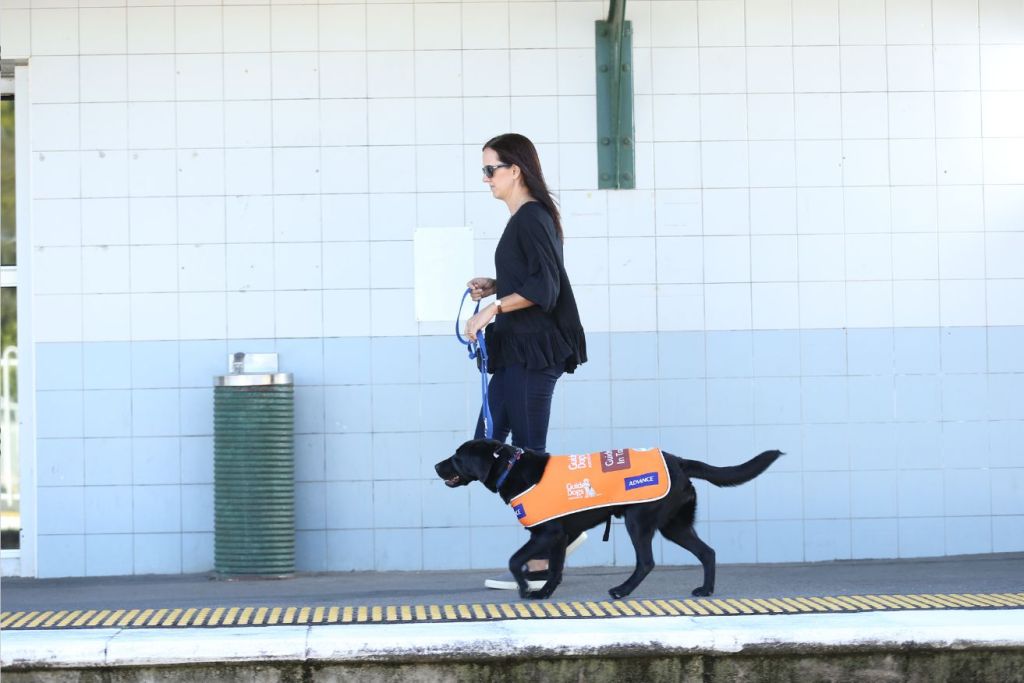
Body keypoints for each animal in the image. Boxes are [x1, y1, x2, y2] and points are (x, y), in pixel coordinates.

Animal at [436, 440, 778, 602]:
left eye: (456, 457)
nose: (437, 465)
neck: (510, 466)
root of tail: (680, 462)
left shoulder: (545, 533)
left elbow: (513, 560)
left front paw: (523, 587)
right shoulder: (559, 536)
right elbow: (555, 569)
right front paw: (544, 593)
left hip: (639, 519)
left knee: (646, 561)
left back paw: (621, 590)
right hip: (674, 525)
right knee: (707, 552)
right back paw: (705, 590)